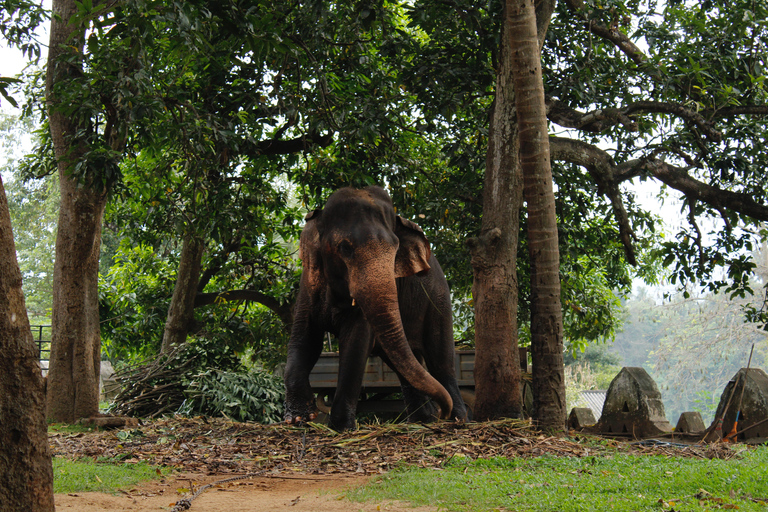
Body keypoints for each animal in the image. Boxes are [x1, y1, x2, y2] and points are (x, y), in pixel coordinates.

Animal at [284, 186, 468, 430]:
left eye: (396, 250)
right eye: (345, 248)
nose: (442, 412)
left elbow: (355, 343)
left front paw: (341, 427)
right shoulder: (308, 281)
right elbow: (304, 337)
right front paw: (300, 418)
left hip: (439, 299)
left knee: (440, 361)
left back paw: (458, 420)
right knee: (404, 362)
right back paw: (424, 420)